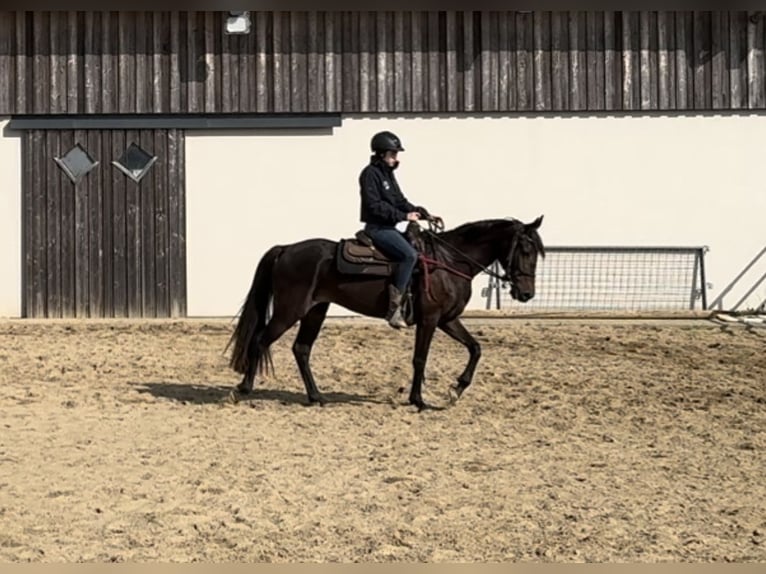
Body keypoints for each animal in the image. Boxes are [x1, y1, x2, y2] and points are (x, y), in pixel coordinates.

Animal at [226, 214, 544, 412]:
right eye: (526, 250)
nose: (526, 294)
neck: (449, 262)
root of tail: (286, 249)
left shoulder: (447, 320)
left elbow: (475, 348)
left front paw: (456, 389)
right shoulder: (430, 320)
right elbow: (420, 358)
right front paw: (418, 400)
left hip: (315, 311)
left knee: (301, 349)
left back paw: (316, 397)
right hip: (288, 311)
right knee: (260, 340)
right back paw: (244, 389)